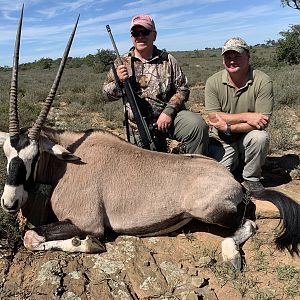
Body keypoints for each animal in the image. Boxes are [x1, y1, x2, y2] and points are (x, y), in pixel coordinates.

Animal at [0, 7, 298, 270]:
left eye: (35, 156)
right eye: (6, 153)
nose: (9, 203)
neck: (69, 163)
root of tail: (233, 181)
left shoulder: (87, 222)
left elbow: (33, 236)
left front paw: (85, 243)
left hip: (209, 211)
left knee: (248, 224)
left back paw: (231, 255)